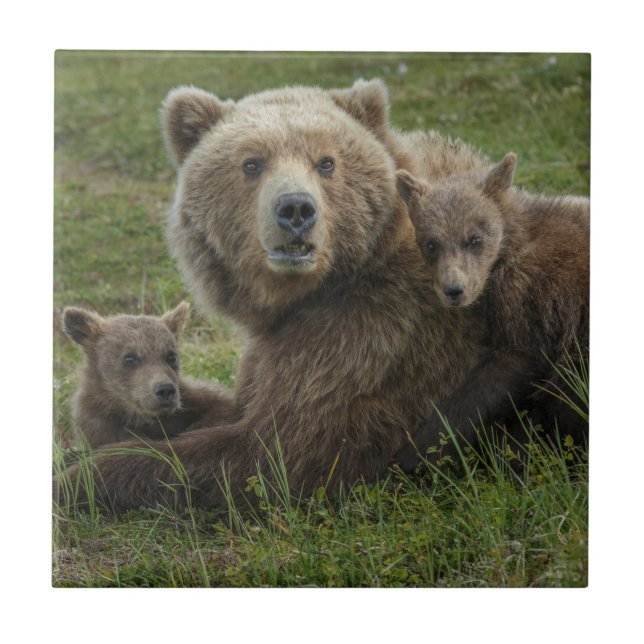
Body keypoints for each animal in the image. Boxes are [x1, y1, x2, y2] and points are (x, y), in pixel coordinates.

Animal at [392, 153, 589, 470]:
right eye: (431, 244)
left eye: (475, 239)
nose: (454, 290)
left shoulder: (537, 305)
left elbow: (496, 378)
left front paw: (413, 455)